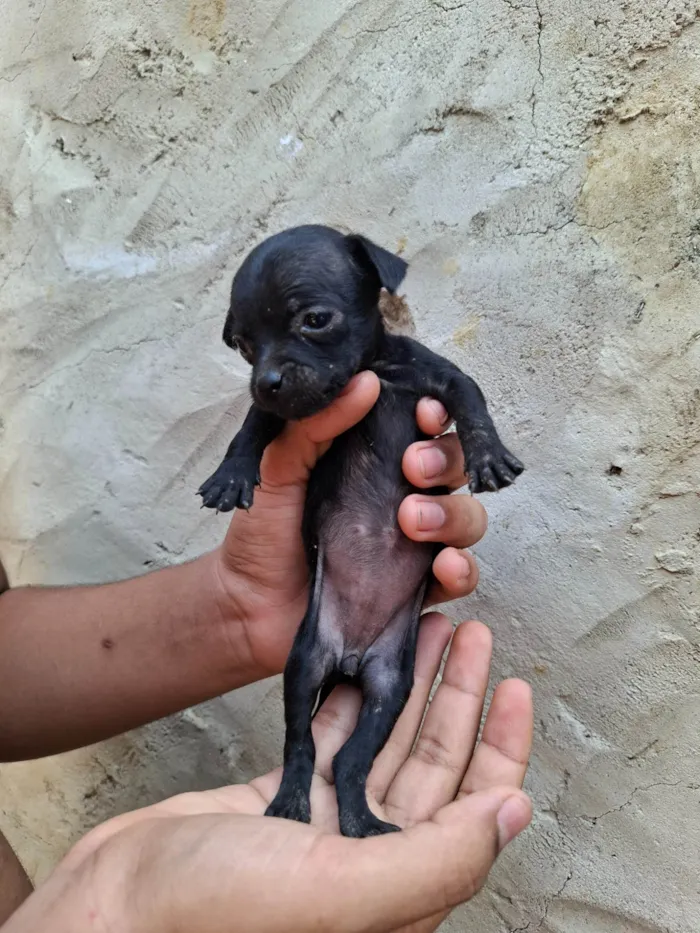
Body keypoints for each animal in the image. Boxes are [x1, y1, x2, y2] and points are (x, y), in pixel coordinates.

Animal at [200, 224, 524, 836]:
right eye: (245, 346)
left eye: (314, 320)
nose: (266, 379)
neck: (373, 370)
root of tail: (349, 661)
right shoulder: (280, 412)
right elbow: (252, 425)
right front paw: (229, 475)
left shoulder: (440, 378)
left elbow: (471, 401)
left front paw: (489, 455)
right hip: (306, 663)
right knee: (303, 746)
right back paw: (292, 805)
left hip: (391, 686)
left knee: (350, 759)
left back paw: (362, 823)